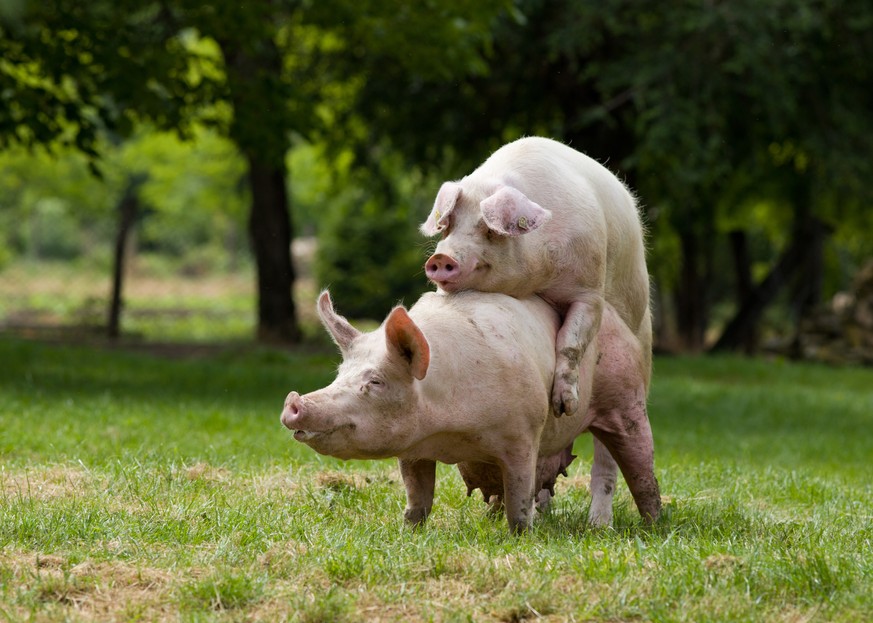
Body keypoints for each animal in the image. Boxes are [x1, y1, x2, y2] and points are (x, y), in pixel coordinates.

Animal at [282, 290, 656, 532]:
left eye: (375, 381)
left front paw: (521, 536)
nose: (294, 403)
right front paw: (408, 532)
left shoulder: (523, 434)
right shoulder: (413, 450)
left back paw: (647, 525)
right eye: (339, 374)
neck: (449, 433)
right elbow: (418, 498)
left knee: (636, 465)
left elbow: (520, 496)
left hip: (625, 398)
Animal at [418, 137, 652, 420]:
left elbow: (570, 341)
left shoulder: (590, 290)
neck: (537, 279)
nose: (441, 258)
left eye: (489, 229)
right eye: (448, 226)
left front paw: (564, 408)